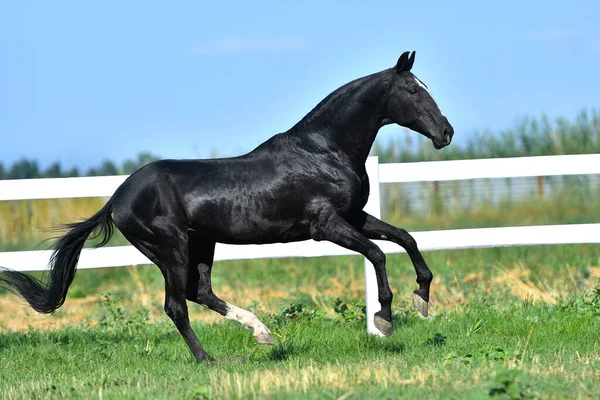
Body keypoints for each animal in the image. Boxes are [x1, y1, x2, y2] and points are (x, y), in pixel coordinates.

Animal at [0, 50, 452, 362]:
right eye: (413, 90)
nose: (446, 133)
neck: (324, 151)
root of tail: (117, 197)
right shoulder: (325, 225)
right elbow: (377, 253)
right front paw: (385, 319)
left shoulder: (353, 216)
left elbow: (405, 238)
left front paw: (422, 299)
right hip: (171, 249)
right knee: (177, 305)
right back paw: (208, 359)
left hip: (201, 244)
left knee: (201, 292)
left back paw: (262, 333)